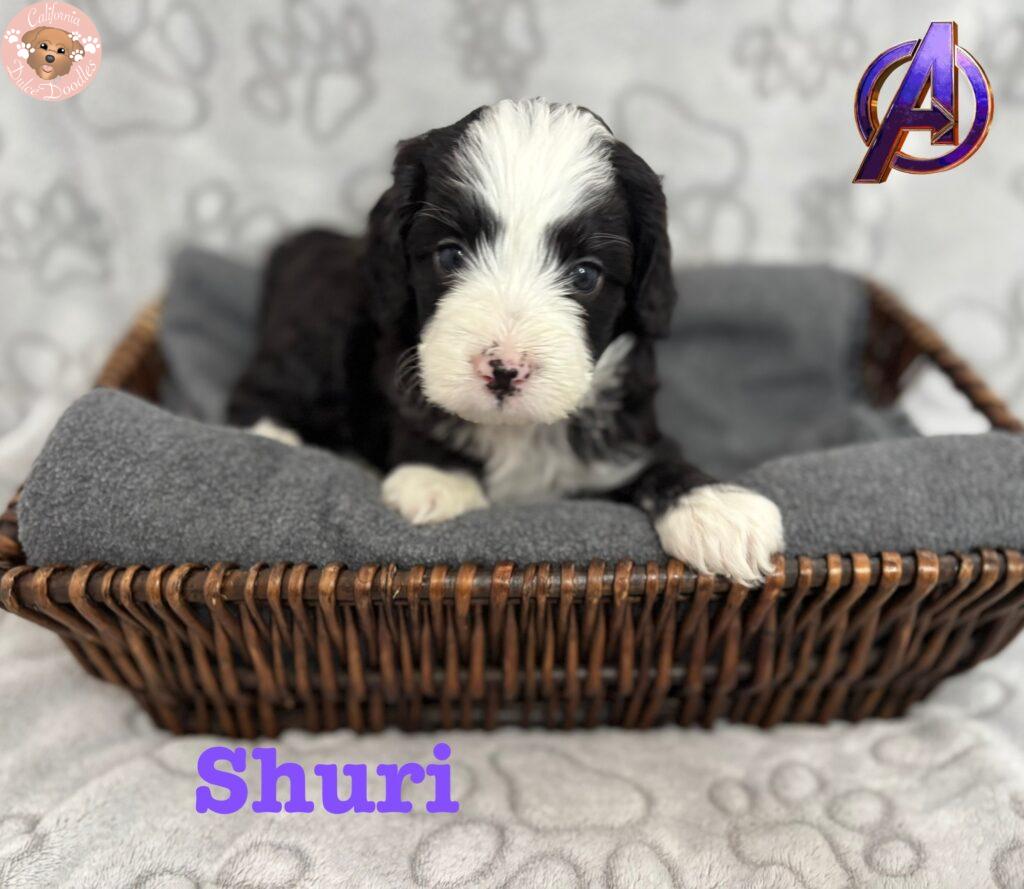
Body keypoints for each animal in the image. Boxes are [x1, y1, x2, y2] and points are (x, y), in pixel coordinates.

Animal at [228, 99, 784, 583]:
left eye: (586, 274)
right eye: (450, 255)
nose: (503, 369)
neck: (521, 433)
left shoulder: (625, 438)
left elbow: (659, 460)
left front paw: (718, 508)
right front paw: (438, 479)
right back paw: (276, 439)